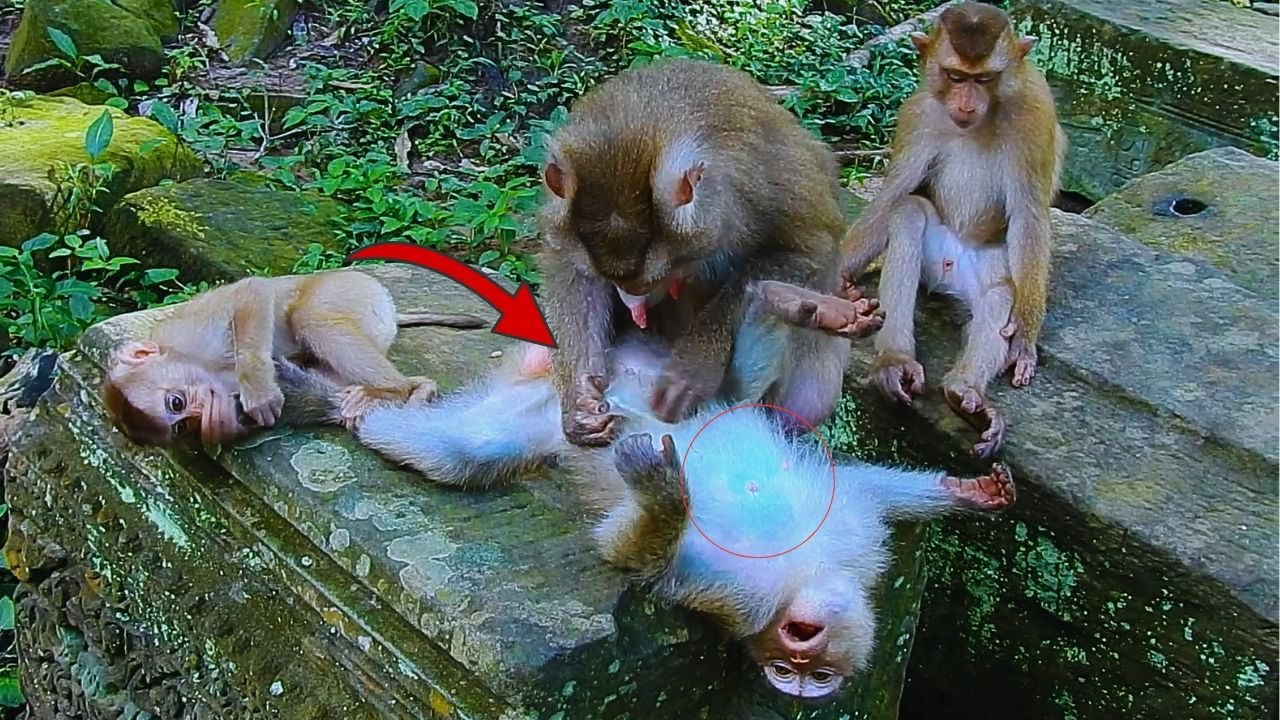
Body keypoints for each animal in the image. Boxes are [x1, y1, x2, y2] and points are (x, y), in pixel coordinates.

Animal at [99, 269, 474, 446]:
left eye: (176, 404)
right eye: (181, 425)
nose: (198, 412)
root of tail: (392, 311)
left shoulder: (190, 334)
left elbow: (252, 291)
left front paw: (258, 390)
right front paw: (220, 424)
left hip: (352, 291)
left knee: (311, 318)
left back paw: (399, 389)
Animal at [277, 281, 1013, 701]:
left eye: (813, 678)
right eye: (795, 667)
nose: (797, 670)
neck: (812, 571)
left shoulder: (834, 559)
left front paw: (966, 492)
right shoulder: (750, 601)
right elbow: (637, 556)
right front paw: (669, 500)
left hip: (555, 406)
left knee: (463, 451)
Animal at [537, 57, 858, 446]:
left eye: (653, 279)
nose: (634, 300)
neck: (647, 127)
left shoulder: (754, 184)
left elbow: (809, 249)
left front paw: (695, 364)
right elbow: (570, 267)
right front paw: (580, 396)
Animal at [837, 2, 1066, 458]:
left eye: (985, 79)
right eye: (955, 76)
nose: (965, 101)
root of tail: (950, 273)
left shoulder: (1034, 115)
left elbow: (1029, 217)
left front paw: (1025, 338)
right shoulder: (918, 113)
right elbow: (894, 195)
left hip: (985, 267)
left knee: (1001, 293)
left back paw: (965, 392)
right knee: (909, 213)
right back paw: (895, 362)